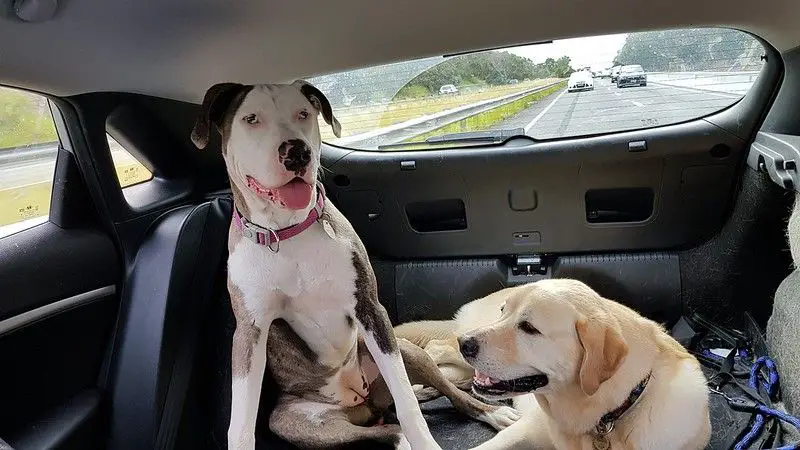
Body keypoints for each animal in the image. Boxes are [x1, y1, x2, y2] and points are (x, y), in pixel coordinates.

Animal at [190, 81, 516, 450]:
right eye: (251, 118)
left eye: (303, 113)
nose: (297, 152)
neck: (288, 232)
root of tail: (362, 403)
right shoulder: (250, 333)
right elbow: (241, 421)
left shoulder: (370, 309)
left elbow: (407, 403)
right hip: (298, 422)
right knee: (385, 429)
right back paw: (399, 437)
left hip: (404, 350)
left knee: (439, 395)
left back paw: (490, 412)